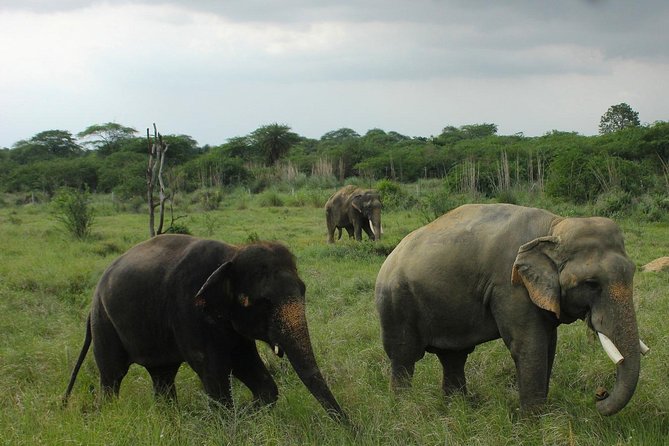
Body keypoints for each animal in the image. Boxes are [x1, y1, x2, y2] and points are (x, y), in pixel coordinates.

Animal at [63, 234, 346, 421]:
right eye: (261, 303)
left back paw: (169, 418)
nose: (351, 430)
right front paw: (230, 420)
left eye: (303, 290)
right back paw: (111, 414)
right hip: (104, 323)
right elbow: (213, 370)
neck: (231, 255)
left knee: (162, 375)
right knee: (112, 376)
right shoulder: (188, 310)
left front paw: (244, 413)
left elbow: (248, 366)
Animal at [375, 203, 647, 416]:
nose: (599, 395)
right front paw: (534, 425)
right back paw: (404, 410)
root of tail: (389, 258)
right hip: (396, 304)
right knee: (404, 357)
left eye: (633, 272)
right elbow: (530, 345)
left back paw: (457, 409)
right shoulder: (510, 287)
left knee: (454, 356)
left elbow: (549, 345)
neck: (553, 226)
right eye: (591, 283)